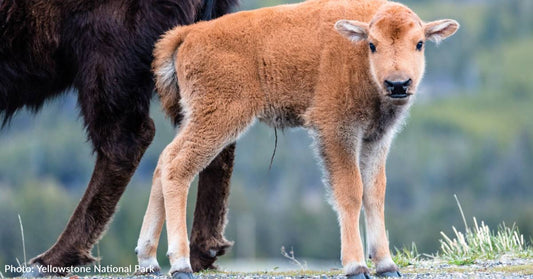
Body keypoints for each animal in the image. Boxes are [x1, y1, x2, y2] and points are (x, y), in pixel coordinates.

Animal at [136, 1, 458, 278]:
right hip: (218, 119)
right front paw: (356, 266)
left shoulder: (376, 139)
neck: (358, 58)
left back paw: (148, 260)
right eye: (372, 44)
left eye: (419, 43)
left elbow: (375, 193)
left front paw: (387, 265)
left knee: (163, 161)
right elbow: (350, 192)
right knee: (177, 167)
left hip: (198, 119)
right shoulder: (337, 132)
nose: (398, 84)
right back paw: (180, 265)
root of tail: (189, 33)